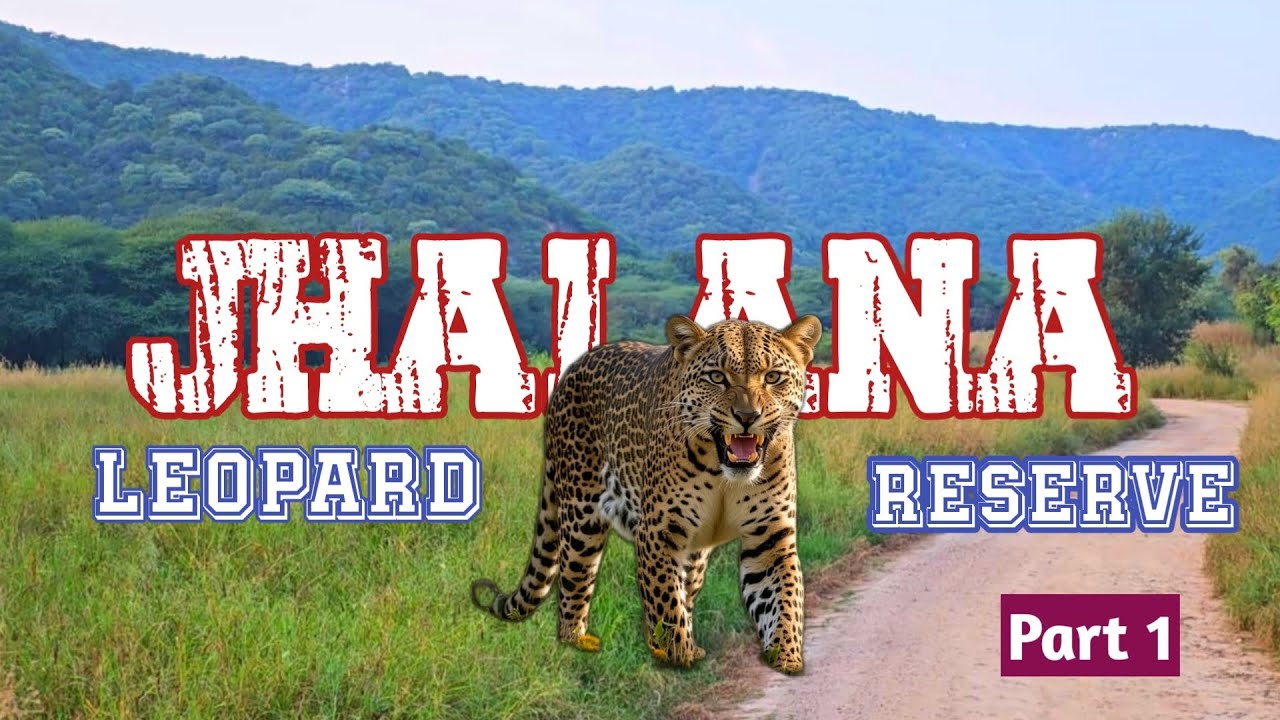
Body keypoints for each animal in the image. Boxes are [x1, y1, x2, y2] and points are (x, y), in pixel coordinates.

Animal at [470, 314, 822, 674]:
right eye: (717, 377)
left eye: (773, 377)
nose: (747, 417)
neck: (724, 473)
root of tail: (572, 369)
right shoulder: (658, 532)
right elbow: (665, 602)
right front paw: (679, 655)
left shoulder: (770, 537)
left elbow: (783, 599)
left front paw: (786, 655)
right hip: (582, 519)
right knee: (573, 584)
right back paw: (576, 642)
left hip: (694, 553)